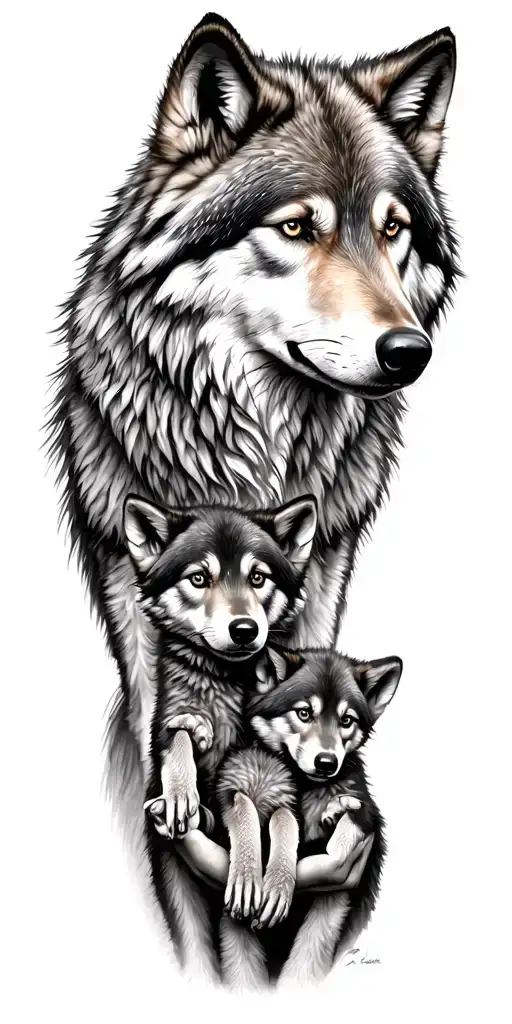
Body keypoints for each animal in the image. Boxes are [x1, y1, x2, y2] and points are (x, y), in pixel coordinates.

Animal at [46, 11, 459, 976]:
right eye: (298, 227)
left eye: (392, 230)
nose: (409, 351)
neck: (251, 456)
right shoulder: (133, 604)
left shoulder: (326, 573)